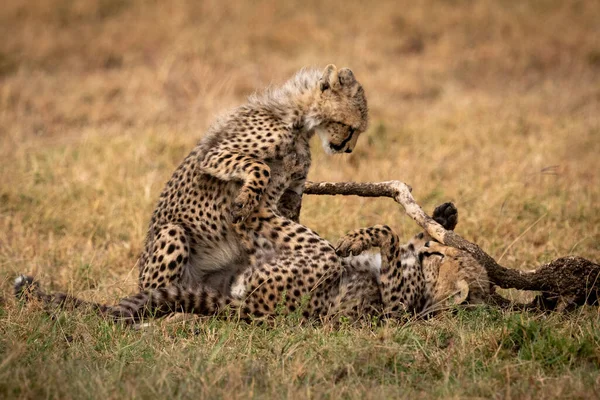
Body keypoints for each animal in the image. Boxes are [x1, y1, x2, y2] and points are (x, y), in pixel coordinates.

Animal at [15, 202, 488, 324]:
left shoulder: (393, 309)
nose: (432, 251)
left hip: (310, 260)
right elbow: (400, 231)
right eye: (440, 257)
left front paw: (359, 239)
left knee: (255, 220)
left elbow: (389, 236)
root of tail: (245, 308)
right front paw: (444, 215)